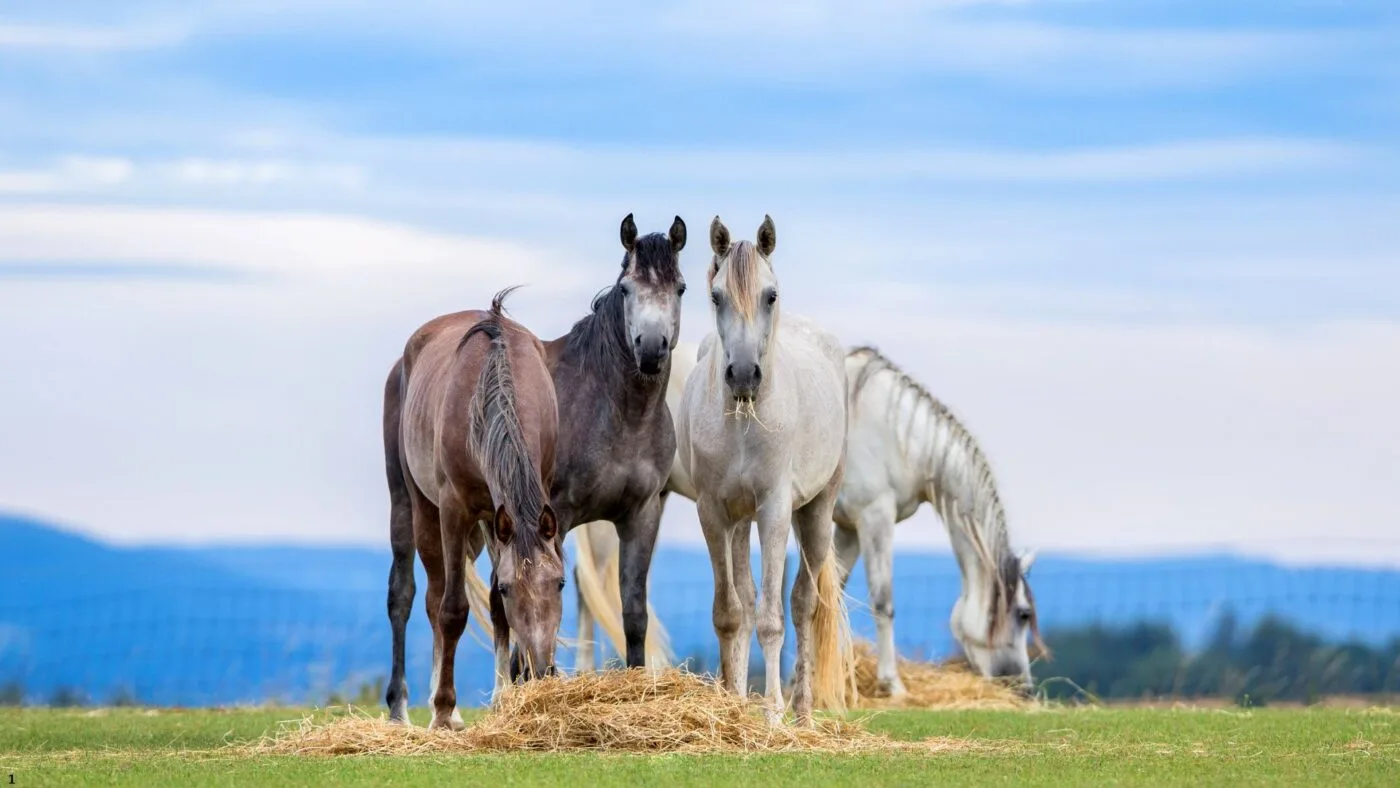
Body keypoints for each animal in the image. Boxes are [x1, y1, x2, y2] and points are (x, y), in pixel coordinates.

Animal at [383, 288, 562, 730]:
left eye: (561, 584)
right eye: (511, 587)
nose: (543, 670)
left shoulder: (511, 514)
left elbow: (497, 610)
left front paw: (503, 699)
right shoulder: (454, 509)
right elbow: (453, 609)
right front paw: (444, 710)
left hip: (485, 526)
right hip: (412, 506)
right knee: (414, 596)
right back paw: (405, 710)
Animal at [677, 215, 853, 723]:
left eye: (770, 296)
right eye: (716, 296)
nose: (742, 374)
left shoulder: (774, 510)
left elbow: (773, 620)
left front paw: (773, 715)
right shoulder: (715, 513)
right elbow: (731, 613)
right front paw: (733, 707)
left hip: (816, 512)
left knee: (802, 604)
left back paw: (803, 716)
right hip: (740, 522)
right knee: (748, 598)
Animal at [834, 347, 1044, 695]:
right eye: (1024, 614)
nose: (1023, 688)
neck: (898, 435)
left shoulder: (847, 526)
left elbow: (823, 596)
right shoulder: (873, 516)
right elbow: (882, 600)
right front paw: (892, 685)